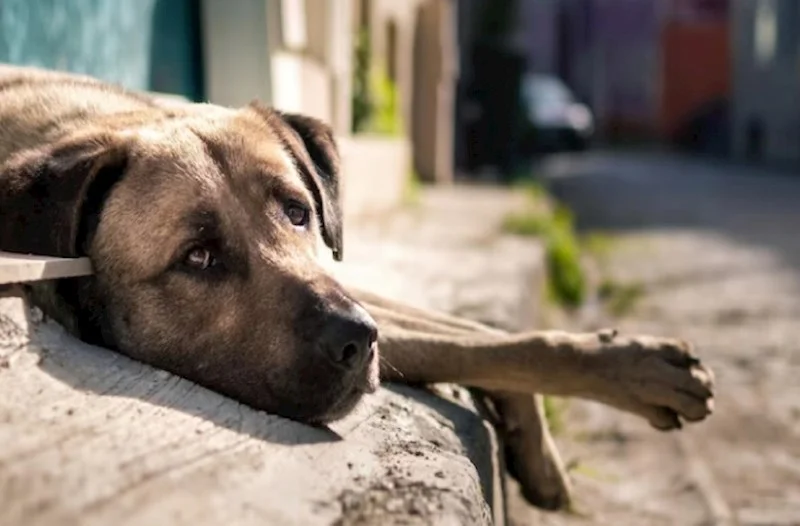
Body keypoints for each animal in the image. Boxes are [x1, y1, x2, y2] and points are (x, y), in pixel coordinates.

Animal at [0, 65, 712, 512]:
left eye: (297, 212)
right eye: (197, 256)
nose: (358, 339)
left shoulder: (346, 279)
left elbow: (484, 333)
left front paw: (598, 389)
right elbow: (479, 345)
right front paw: (633, 373)